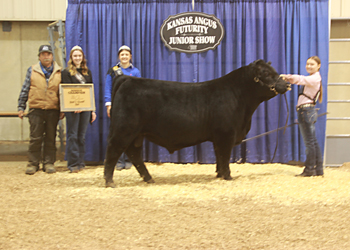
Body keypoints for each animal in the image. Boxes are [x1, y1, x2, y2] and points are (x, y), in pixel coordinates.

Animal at [104, 59, 290, 188]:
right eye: (267, 74)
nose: (287, 83)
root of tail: (127, 79)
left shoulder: (218, 136)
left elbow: (219, 156)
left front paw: (219, 174)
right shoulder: (226, 134)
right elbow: (224, 156)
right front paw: (228, 176)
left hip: (137, 133)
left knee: (134, 153)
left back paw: (149, 179)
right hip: (124, 129)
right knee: (114, 150)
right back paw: (109, 181)